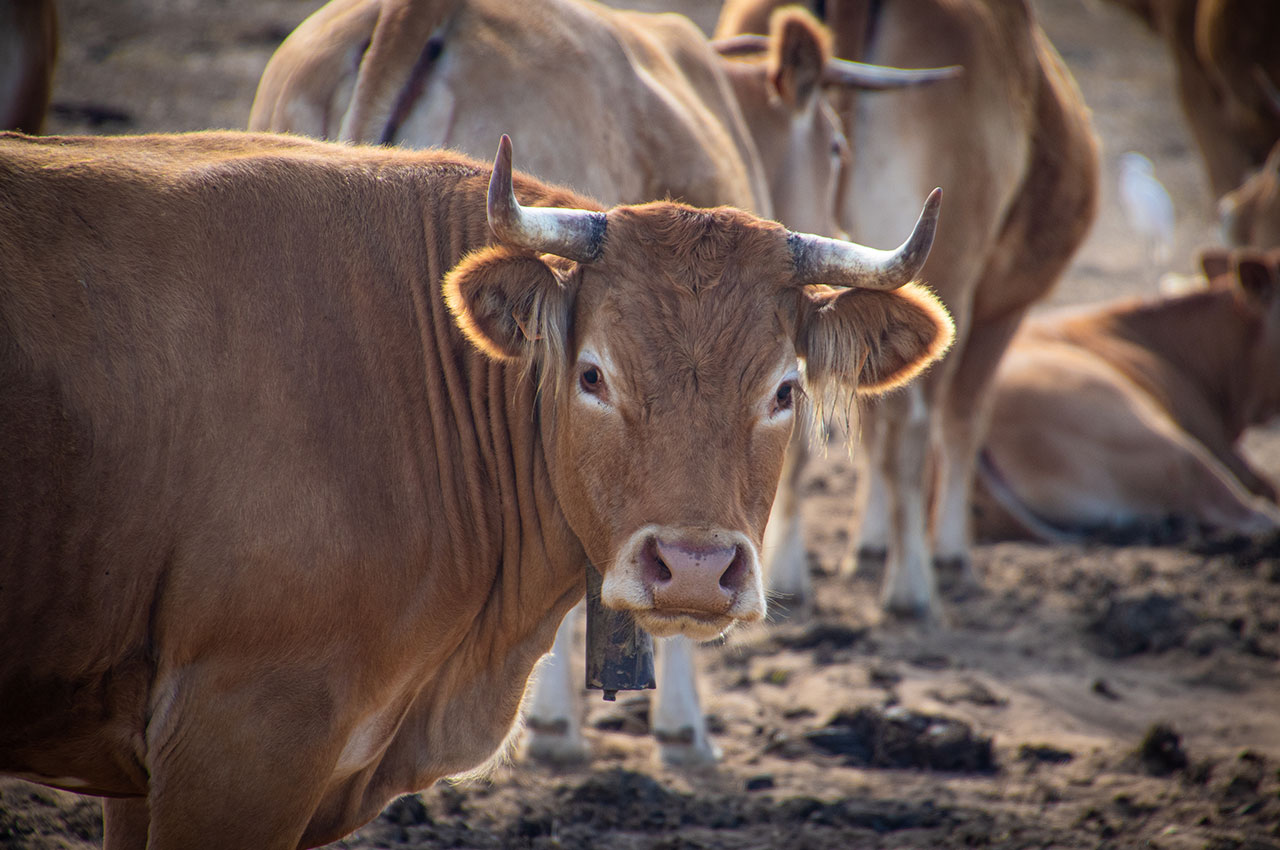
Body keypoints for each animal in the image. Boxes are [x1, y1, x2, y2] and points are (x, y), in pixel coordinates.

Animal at [721, 0, 1100, 622]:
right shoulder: (998, 314)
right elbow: (961, 420)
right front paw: (945, 552)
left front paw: (868, 542)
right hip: (948, 275)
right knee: (917, 423)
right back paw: (911, 587)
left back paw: (788, 580)